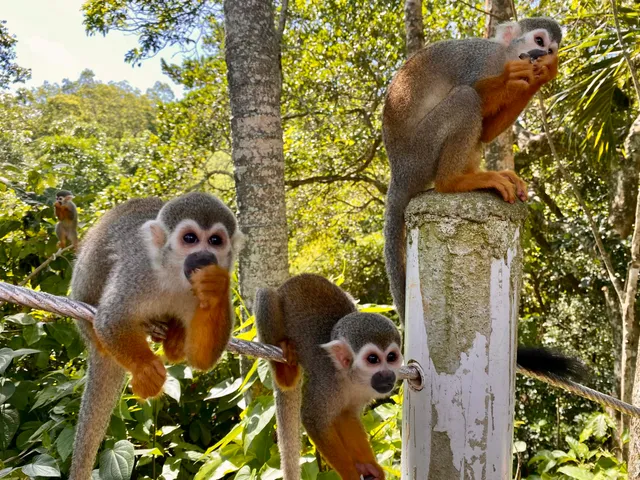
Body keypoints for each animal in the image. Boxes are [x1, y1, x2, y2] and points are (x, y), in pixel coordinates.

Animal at [68, 192, 244, 480]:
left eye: (215, 241)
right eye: (190, 238)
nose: (204, 256)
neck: (174, 275)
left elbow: (202, 359)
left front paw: (214, 287)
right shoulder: (138, 271)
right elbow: (111, 319)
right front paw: (145, 368)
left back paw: (174, 339)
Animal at [255, 274, 403, 480]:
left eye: (391, 357)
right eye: (373, 359)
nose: (387, 375)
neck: (349, 377)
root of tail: (286, 283)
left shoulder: (364, 391)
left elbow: (346, 416)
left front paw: (369, 466)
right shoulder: (326, 381)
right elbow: (314, 420)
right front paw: (350, 473)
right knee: (266, 295)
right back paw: (285, 372)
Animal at [382, 17, 562, 321]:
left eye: (551, 50)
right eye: (539, 41)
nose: (545, 55)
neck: (503, 56)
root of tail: (399, 171)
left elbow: (487, 130)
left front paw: (542, 75)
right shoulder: (480, 61)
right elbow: (476, 90)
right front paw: (510, 78)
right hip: (420, 152)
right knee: (467, 97)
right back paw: (452, 181)